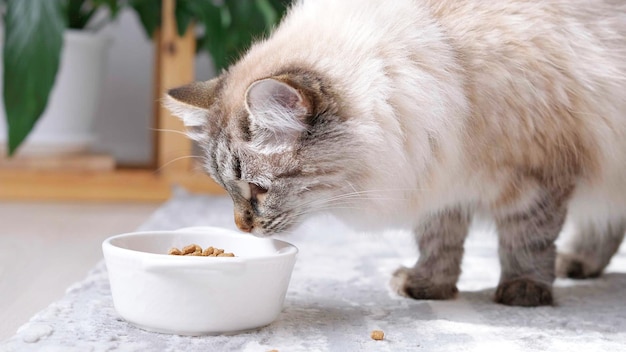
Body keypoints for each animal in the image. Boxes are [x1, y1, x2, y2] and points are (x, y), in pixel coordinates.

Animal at [165, 0, 624, 306]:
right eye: (227, 189)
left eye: (258, 189)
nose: (242, 228)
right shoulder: (440, 173)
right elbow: (439, 241)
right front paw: (428, 287)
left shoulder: (535, 176)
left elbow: (526, 240)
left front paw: (523, 291)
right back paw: (577, 264)